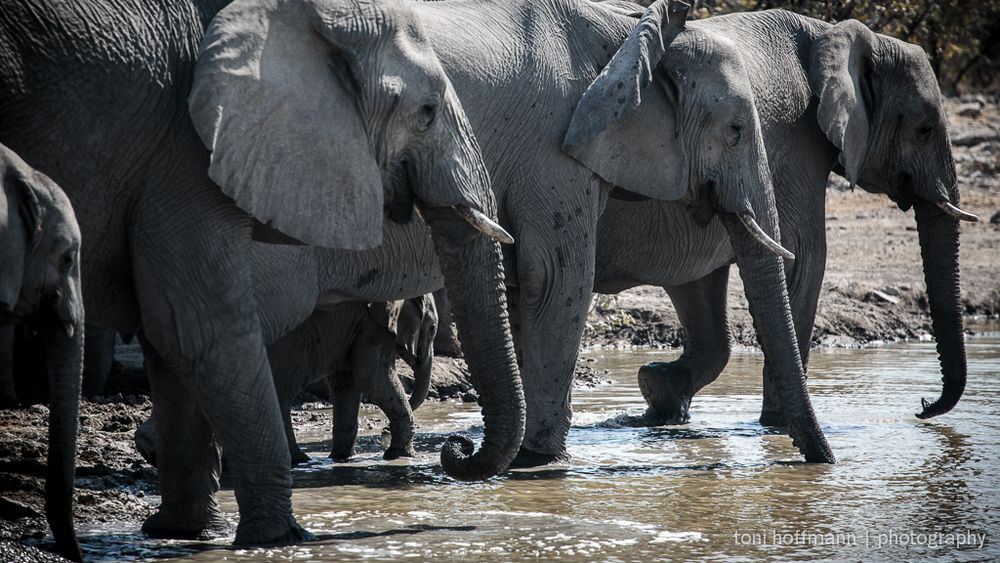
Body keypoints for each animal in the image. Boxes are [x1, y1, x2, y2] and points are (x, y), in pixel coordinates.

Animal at [268, 296, 436, 462]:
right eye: (432, 329)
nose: (385, 429)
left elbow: (347, 385)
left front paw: (343, 458)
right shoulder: (372, 328)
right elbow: (372, 380)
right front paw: (401, 455)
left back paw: (301, 460)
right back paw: (300, 460)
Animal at [584, 8, 976, 426]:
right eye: (924, 130)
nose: (922, 408)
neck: (830, 34)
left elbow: (702, 282)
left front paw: (661, 392)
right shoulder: (800, 149)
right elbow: (804, 258)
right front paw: (777, 423)